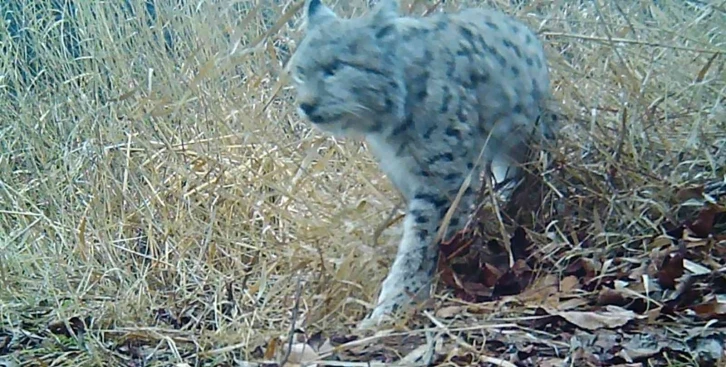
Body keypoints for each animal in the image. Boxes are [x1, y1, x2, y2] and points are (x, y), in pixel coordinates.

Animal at [288, 0, 560, 328]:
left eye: (335, 68)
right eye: (300, 73)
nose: (306, 105)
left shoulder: (444, 180)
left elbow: (421, 241)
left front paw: (395, 305)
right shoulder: (406, 172)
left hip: (532, 132)